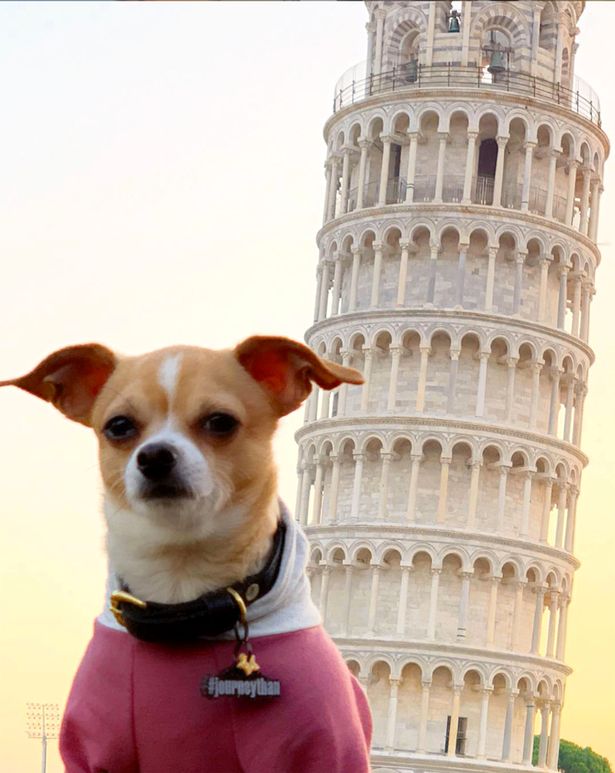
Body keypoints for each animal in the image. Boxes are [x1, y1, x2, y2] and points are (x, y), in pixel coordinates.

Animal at [2, 336, 372, 772]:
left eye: (221, 421)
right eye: (119, 427)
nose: (154, 455)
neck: (180, 595)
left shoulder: (319, 750)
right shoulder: (94, 750)